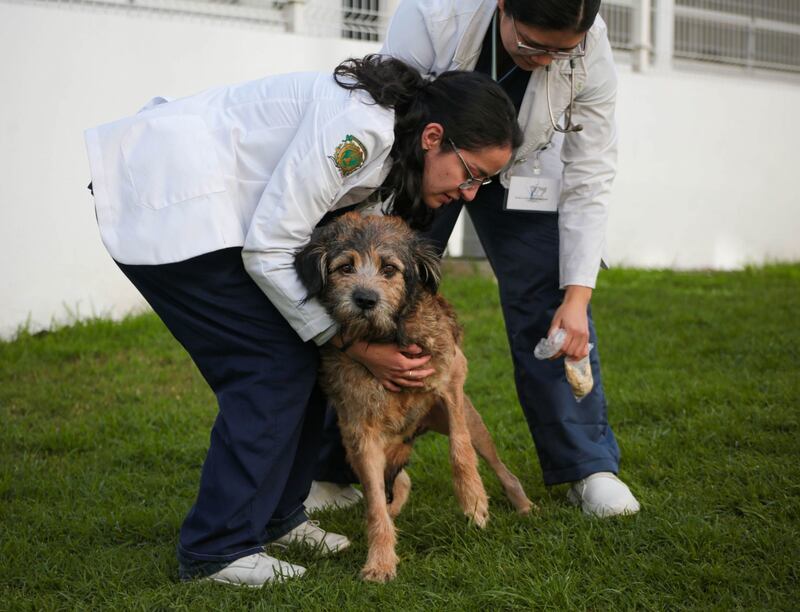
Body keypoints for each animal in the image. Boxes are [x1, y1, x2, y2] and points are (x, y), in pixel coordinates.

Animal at [294, 213, 532, 580]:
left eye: (389, 268)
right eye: (345, 267)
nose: (365, 299)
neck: (385, 335)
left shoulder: (452, 379)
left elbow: (460, 451)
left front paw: (474, 503)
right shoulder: (362, 434)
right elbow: (374, 504)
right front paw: (380, 561)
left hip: (473, 423)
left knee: (498, 465)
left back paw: (524, 505)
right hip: (363, 449)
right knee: (400, 483)